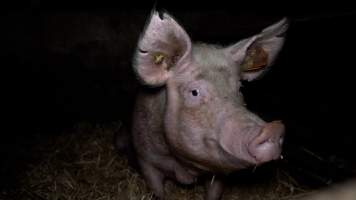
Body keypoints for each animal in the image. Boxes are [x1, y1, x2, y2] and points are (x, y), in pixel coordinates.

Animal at [129, 11, 288, 200]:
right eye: (194, 92)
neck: (185, 168)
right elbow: (157, 190)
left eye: (240, 88)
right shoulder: (145, 159)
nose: (273, 128)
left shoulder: (219, 173)